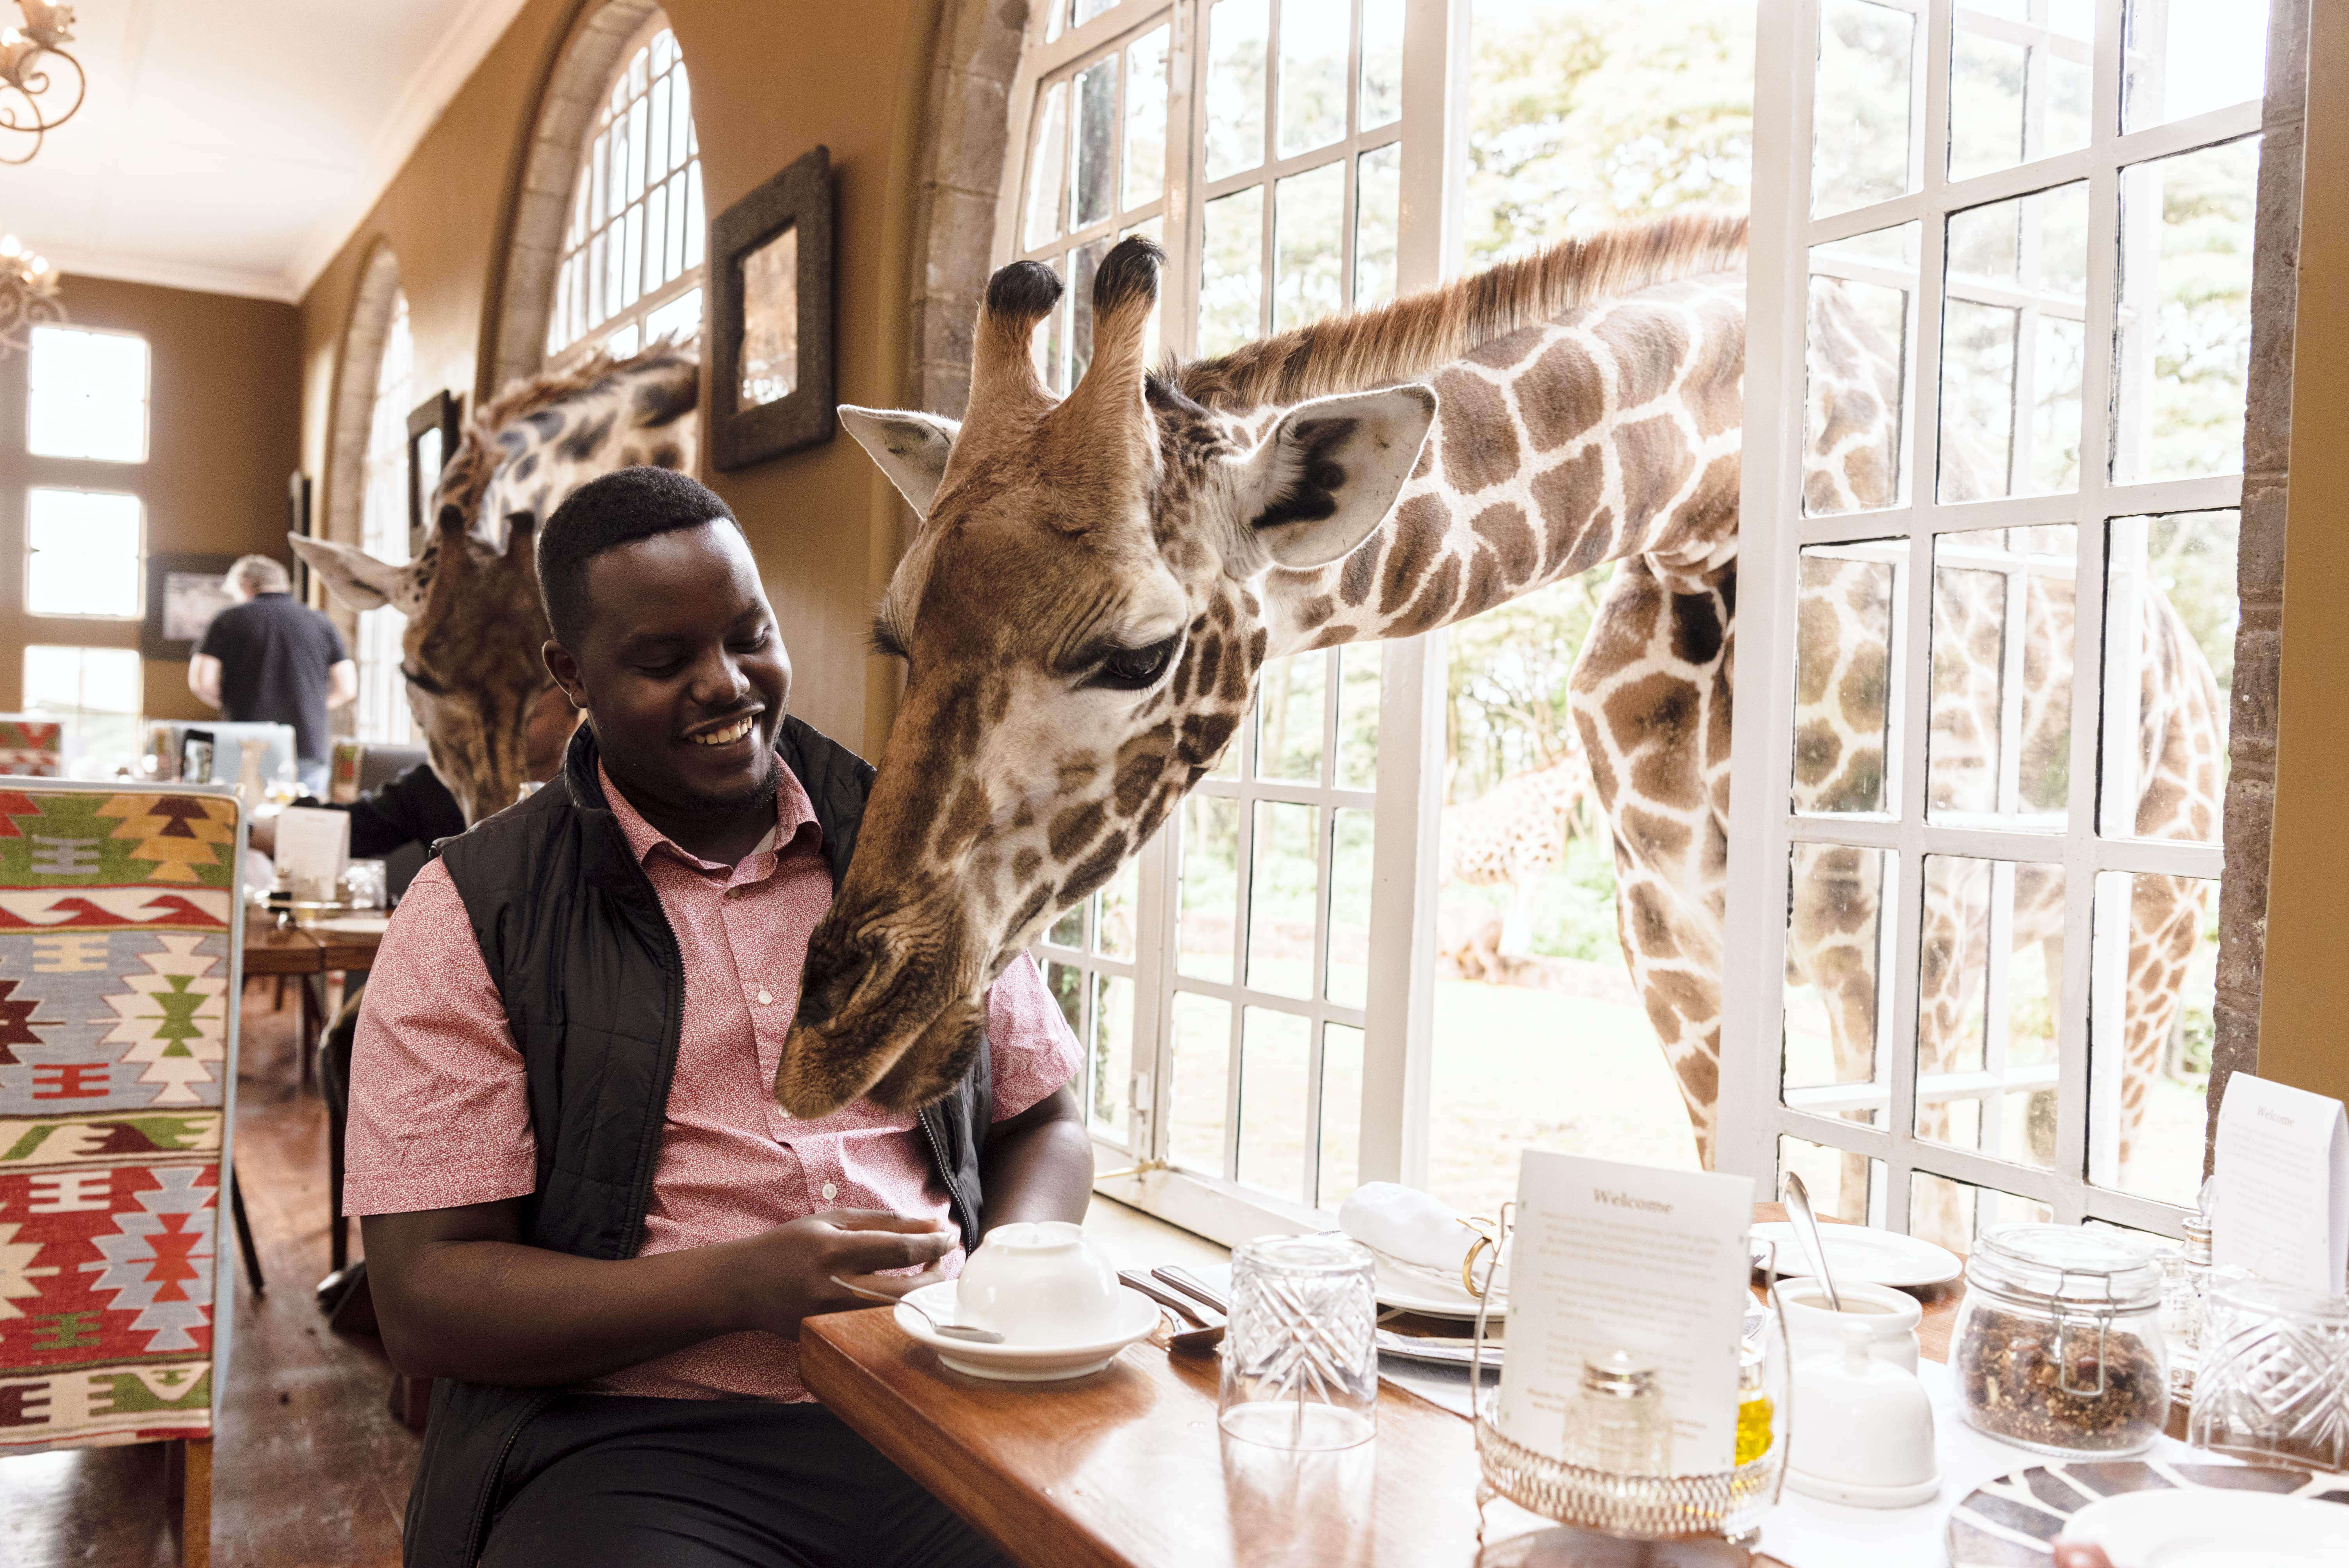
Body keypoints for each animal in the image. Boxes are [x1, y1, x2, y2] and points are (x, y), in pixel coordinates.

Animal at [775, 220, 2223, 1212]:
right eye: (897, 635)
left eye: (1137, 653)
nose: (832, 1039)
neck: (1705, 499)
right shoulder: (1669, 928)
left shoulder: (1900, 945)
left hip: (2142, 938)